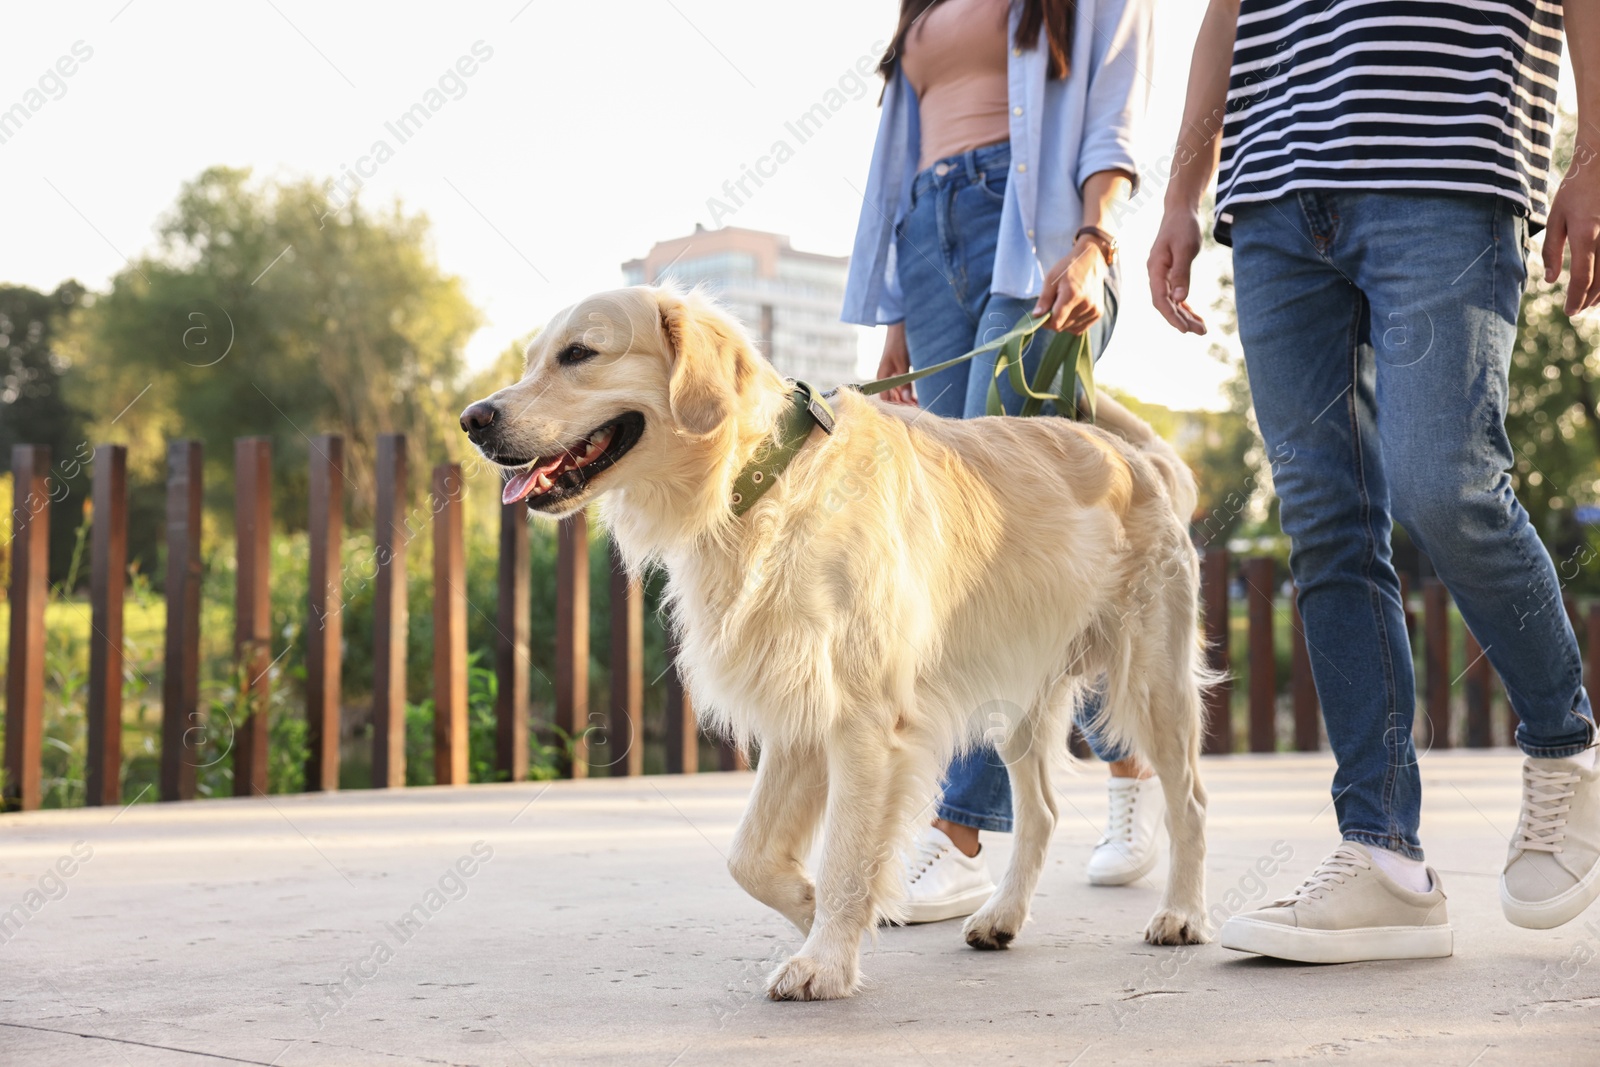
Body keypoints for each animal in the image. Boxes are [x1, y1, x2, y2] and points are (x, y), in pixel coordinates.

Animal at [464, 283, 1209, 1004]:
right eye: (533, 359)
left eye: (579, 353)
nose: (474, 419)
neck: (759, 481)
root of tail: (1139, 459)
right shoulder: (798, 707)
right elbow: (749, 856)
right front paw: (811, 906)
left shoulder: (864, 719)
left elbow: (849, 850)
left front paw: (824, 960)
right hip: (1019, 695)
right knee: (1044, 812)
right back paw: (1002, 916)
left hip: (1151, 682)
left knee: (1190, 801)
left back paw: (1183, 914)